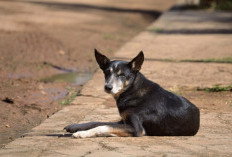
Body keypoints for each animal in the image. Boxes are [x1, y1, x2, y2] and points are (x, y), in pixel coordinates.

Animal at [64, 49, 200, 137]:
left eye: (122, 75)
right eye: (107, 73)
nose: (108, 87)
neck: (131, 91)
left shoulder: (136, 129)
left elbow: (103, 126)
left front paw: (82, 133)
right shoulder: (123, 121)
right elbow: (97, 122)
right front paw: (75, 126)